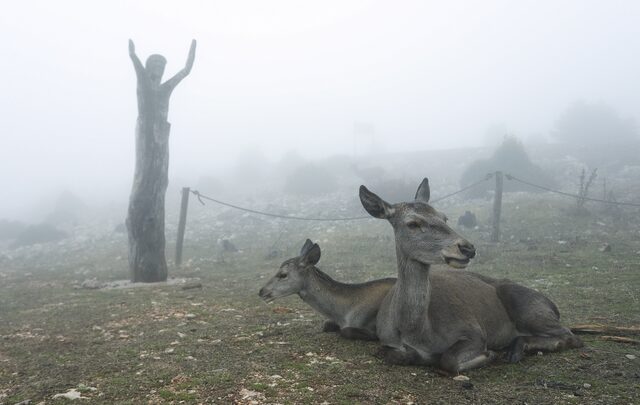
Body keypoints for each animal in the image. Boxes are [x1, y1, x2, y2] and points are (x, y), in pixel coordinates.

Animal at [358, 178, 584, 374]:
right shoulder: (386, 339)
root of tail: (553, 305)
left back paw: (516, 349)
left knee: (571, 336)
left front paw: (489, 354)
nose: (467, 248)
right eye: (413, 223)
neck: (417, 333)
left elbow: (448, 360)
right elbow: (391, 354)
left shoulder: (473, 331)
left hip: (529, 309)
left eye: (444, 217)